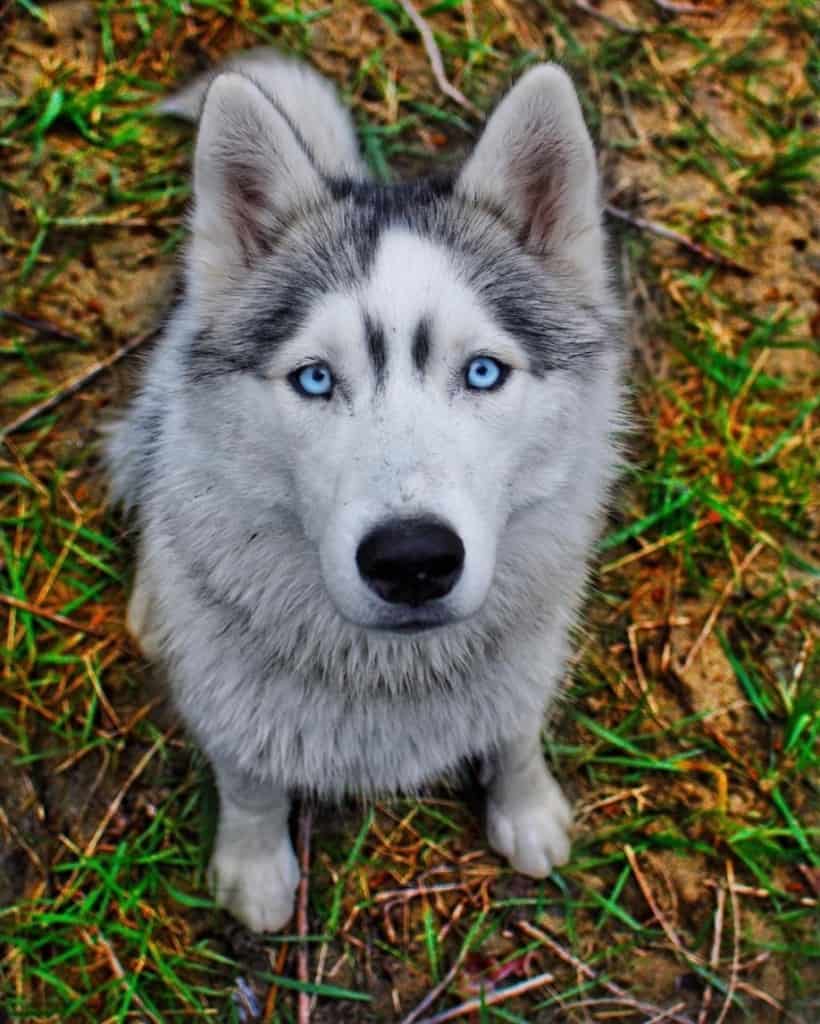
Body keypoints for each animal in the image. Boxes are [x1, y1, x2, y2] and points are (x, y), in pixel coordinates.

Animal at [106, 48, 622, 933]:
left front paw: (526, 808)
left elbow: (517, 731)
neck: (388, 675)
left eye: (482, 372)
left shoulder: (526, 660)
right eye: (315, 379)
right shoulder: (230, 701)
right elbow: (248, 779)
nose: (412, 560)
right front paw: (255, 864)